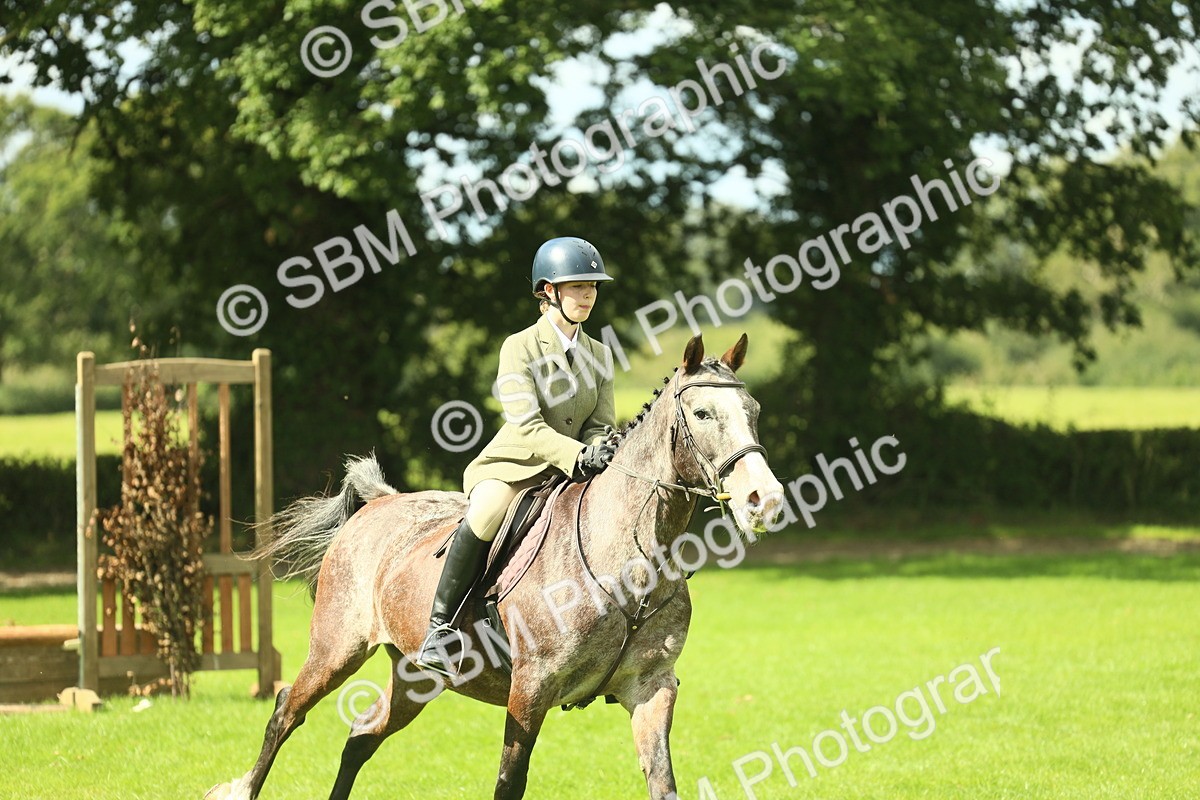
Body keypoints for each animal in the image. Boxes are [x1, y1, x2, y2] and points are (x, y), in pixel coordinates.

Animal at [205, 333, 785, 799]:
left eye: (754, 410)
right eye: (703, 415)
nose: (765, 500)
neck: (629, 560)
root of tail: (379, 503)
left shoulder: (651, 687)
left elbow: (662, 782)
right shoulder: (530, 690)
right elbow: (509, 782)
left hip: (413, 675)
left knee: (361, 737)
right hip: (337, 648)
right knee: (286, 712)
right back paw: (238, 788)